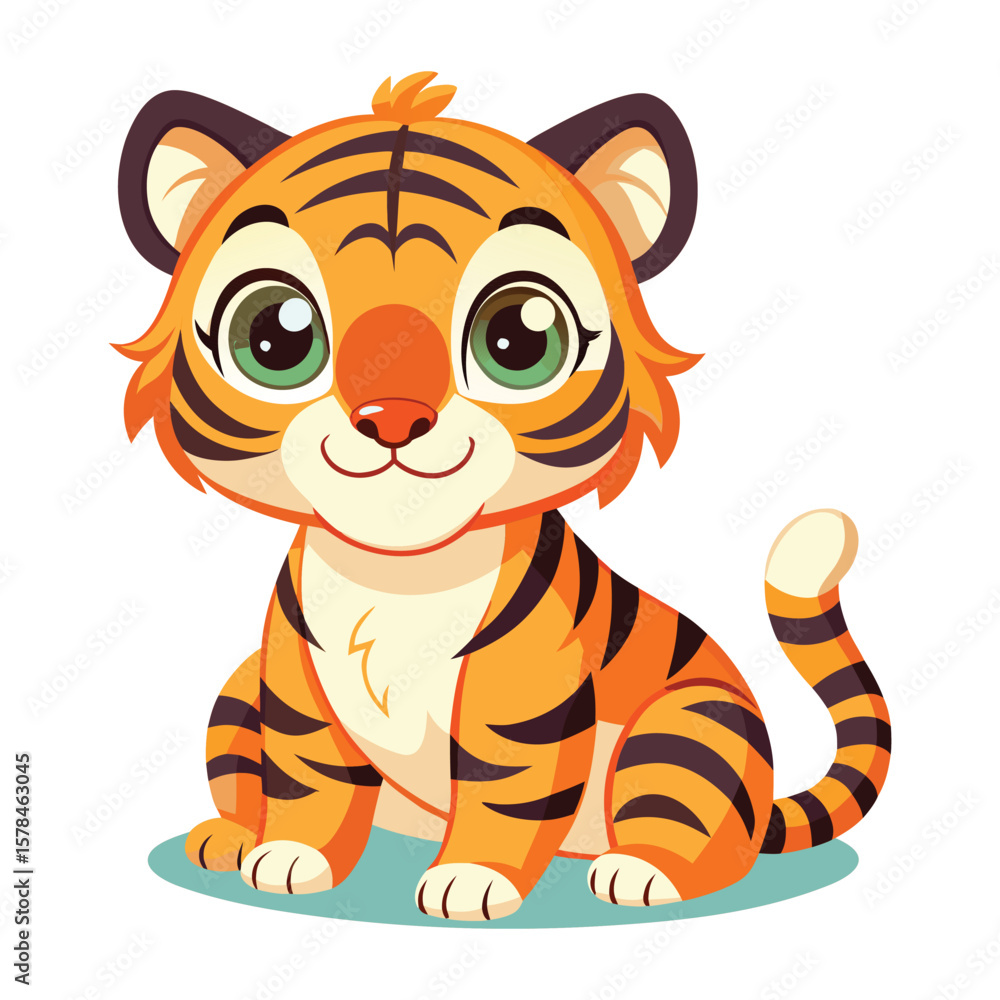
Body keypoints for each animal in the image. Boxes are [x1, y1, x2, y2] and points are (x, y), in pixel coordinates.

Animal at [115, 72, 890, 921]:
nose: (393, 417)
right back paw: (227, 838)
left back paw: (642, 871)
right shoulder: (292, 686)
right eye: (276, 338)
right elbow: (307, 780)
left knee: (708, 836)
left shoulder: (525, 699)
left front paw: (471, 880)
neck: (401, 569)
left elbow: (505, 792)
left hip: (689, 725)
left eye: (518, 336)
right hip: (238, 688)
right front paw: (291, 855)